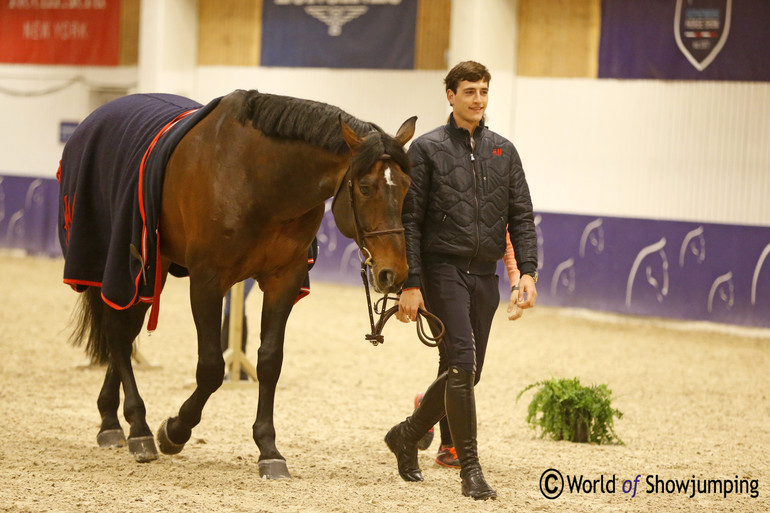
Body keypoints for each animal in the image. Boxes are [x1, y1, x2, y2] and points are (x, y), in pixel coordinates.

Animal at [58, 90, 414, 478]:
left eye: (406, 187)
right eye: (364, 187)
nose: (394, 272)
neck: (259, 178)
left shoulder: (283, 279)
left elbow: (270, 362)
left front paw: (268, 450)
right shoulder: (207, 281)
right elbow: (212, 368)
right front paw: (175, 431)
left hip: (153, 266)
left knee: (124, 331)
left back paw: (111, 420)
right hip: (122, 264)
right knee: (117, 331)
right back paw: (139, 430)